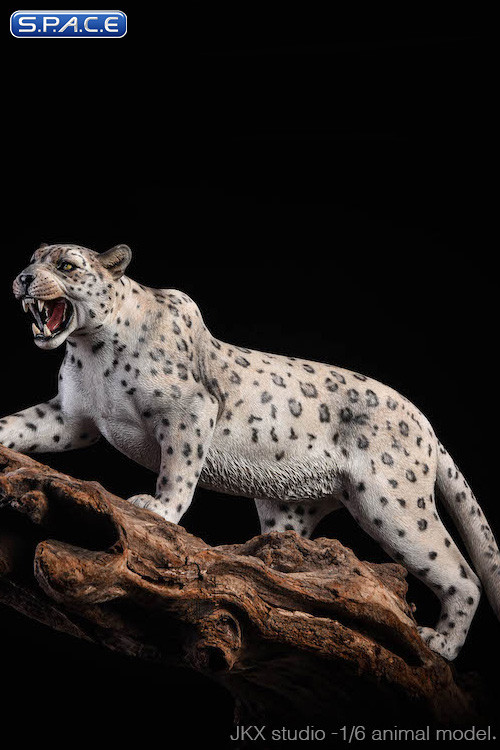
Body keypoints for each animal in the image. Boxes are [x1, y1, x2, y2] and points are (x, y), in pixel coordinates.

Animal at [1, 242, 499, 660]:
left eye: (66, 265)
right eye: (33, 258)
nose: (23, 278)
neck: (89, 352)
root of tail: (425, 424)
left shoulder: (188, 411)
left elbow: (178, 468)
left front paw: (159, 508)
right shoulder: (71, 416)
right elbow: (21, 424)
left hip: (392, 503)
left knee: (460, 571)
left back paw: (441, 644)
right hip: (290, 506)